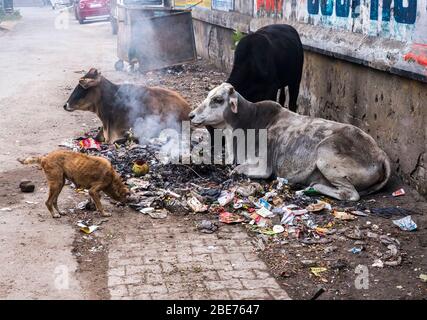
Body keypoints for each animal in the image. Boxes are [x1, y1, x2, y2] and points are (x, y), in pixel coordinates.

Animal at [190, 84, 392, 201]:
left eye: (217, 100)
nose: (191, 115)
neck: (247, 123)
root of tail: (380, 154)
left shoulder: (263, 167)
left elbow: (237, 170)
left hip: (325, 155)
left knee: (350, 194)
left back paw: (314, 186)